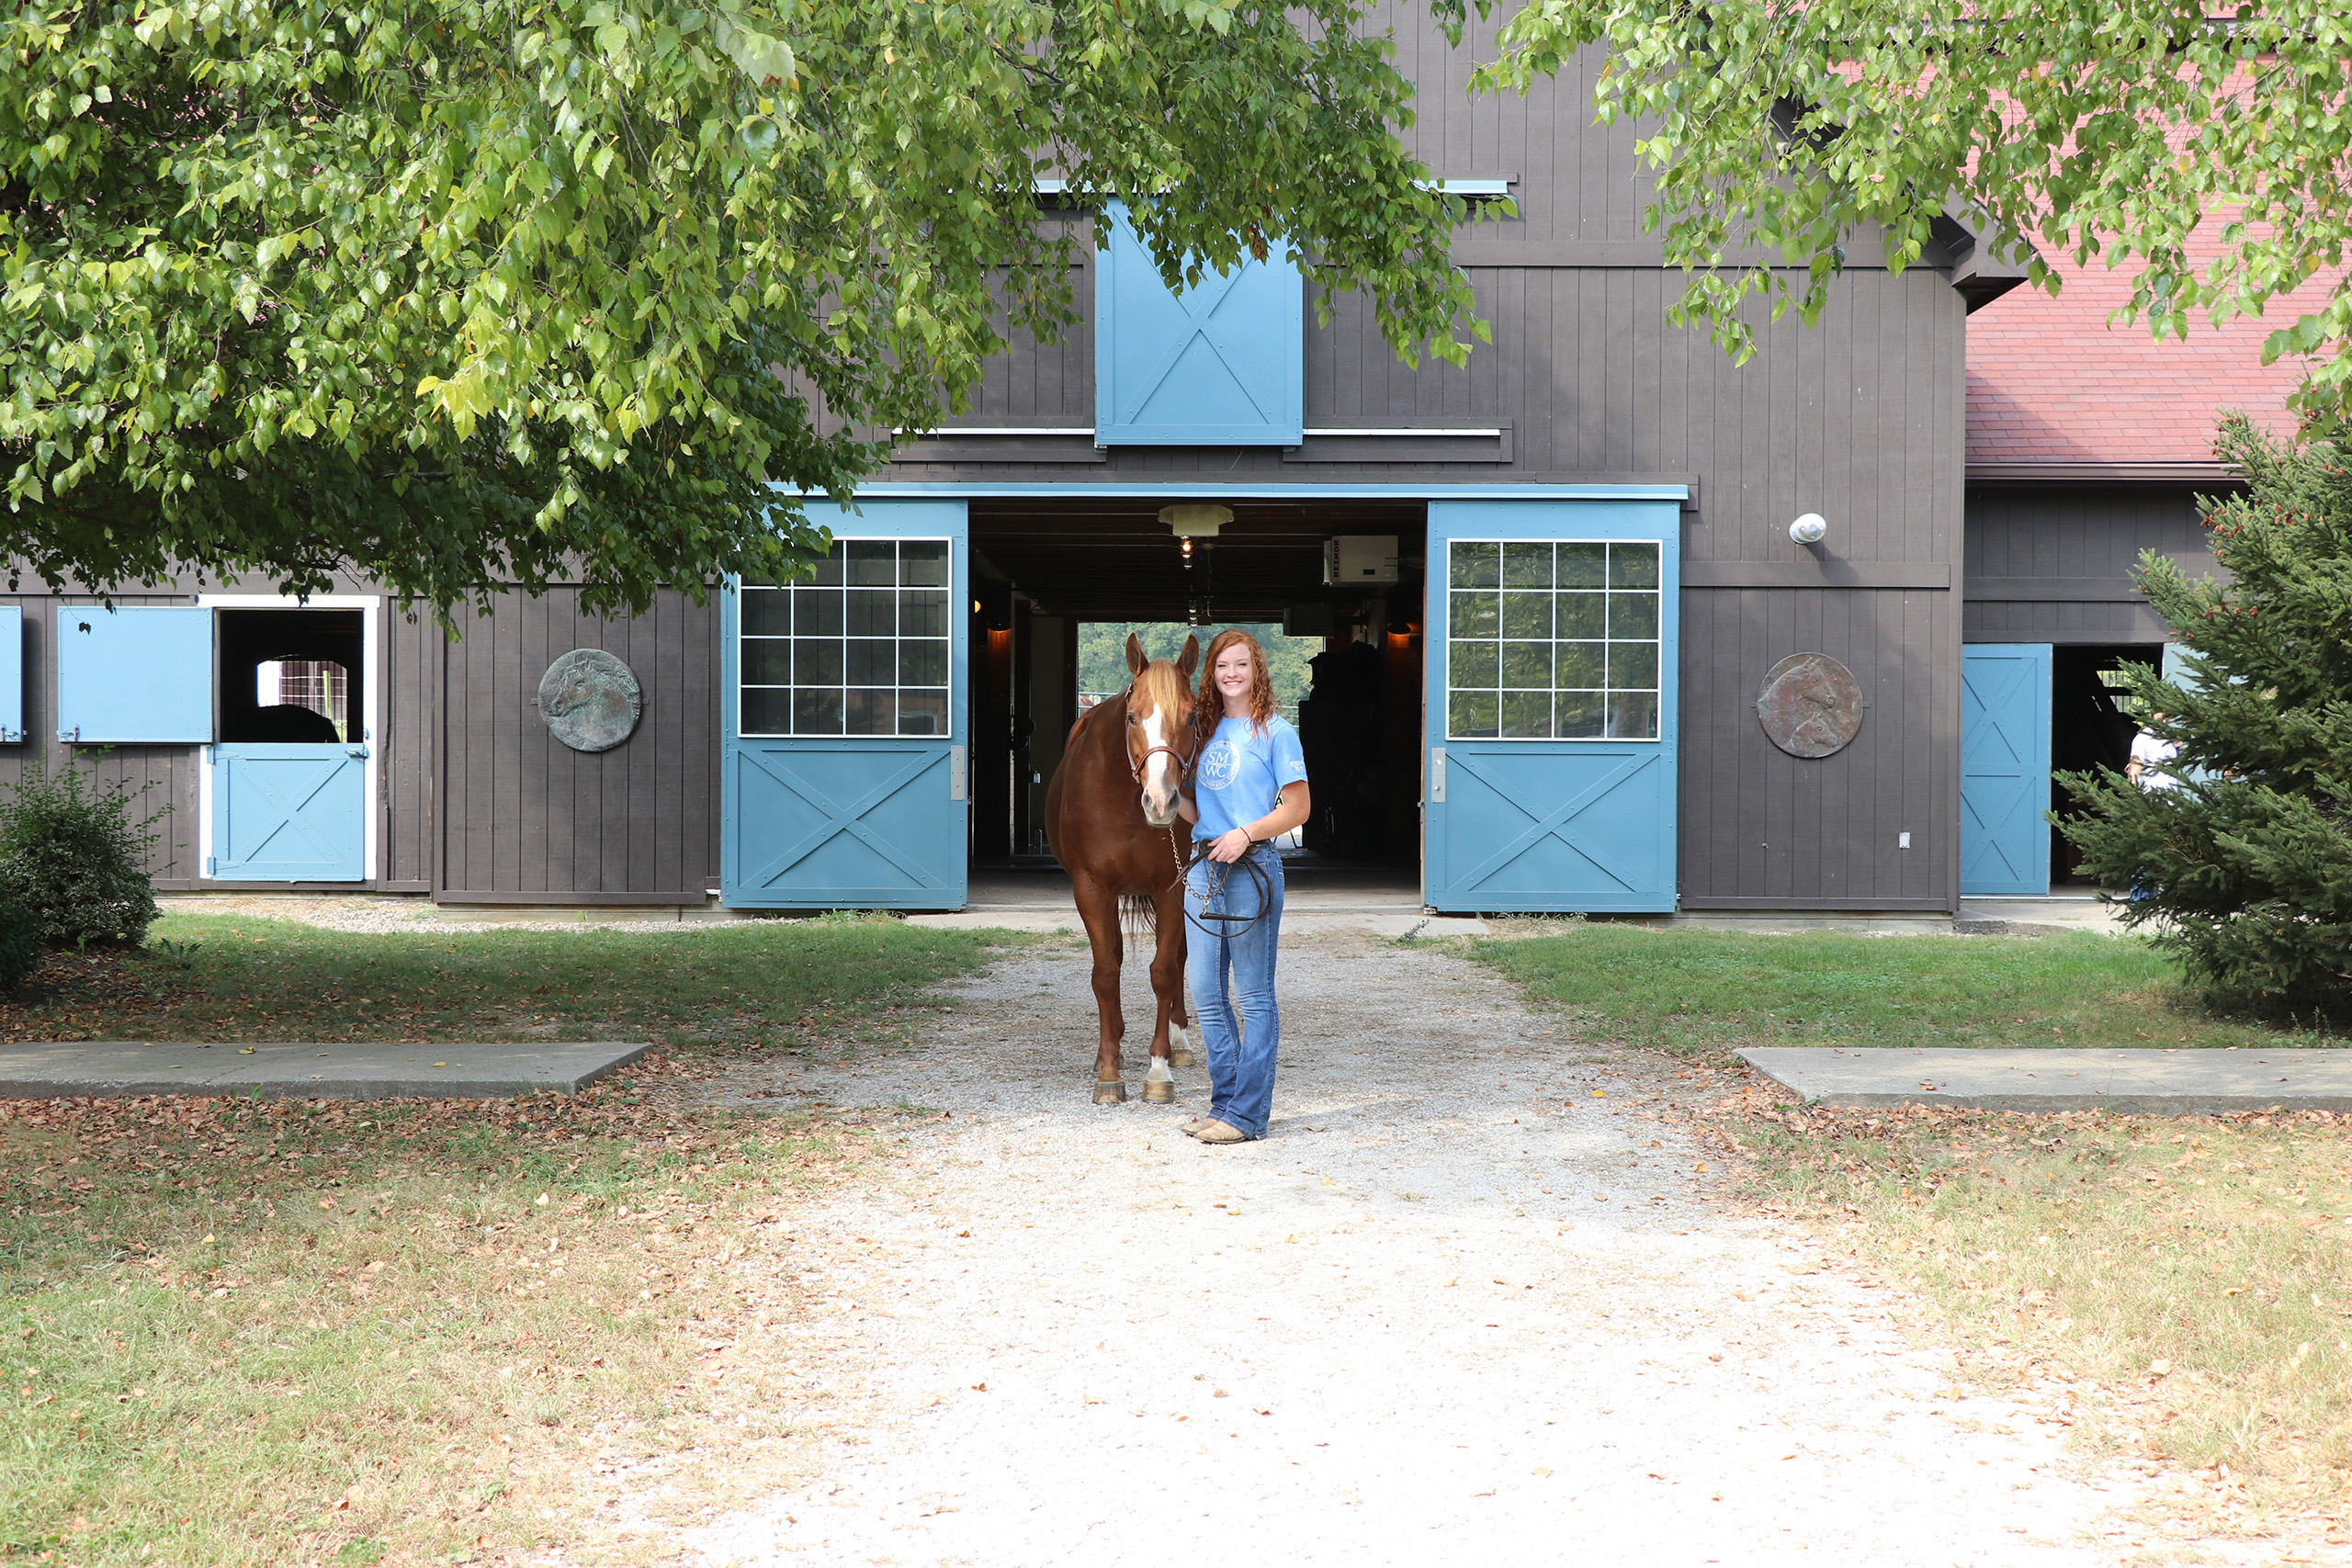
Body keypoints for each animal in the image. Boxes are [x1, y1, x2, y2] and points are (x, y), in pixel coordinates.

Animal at [1048, 634, 1194, 1104]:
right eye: (1132, 717)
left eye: (1191, 716)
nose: (1161, 802)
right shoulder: (1091, 888)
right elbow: (1106, 973)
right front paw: (1109, 1073)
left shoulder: (1171, 888)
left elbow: (1164, 970)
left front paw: (1159, 1070)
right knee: (1111, 954)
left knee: (1179, 958)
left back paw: (1180, 1042)